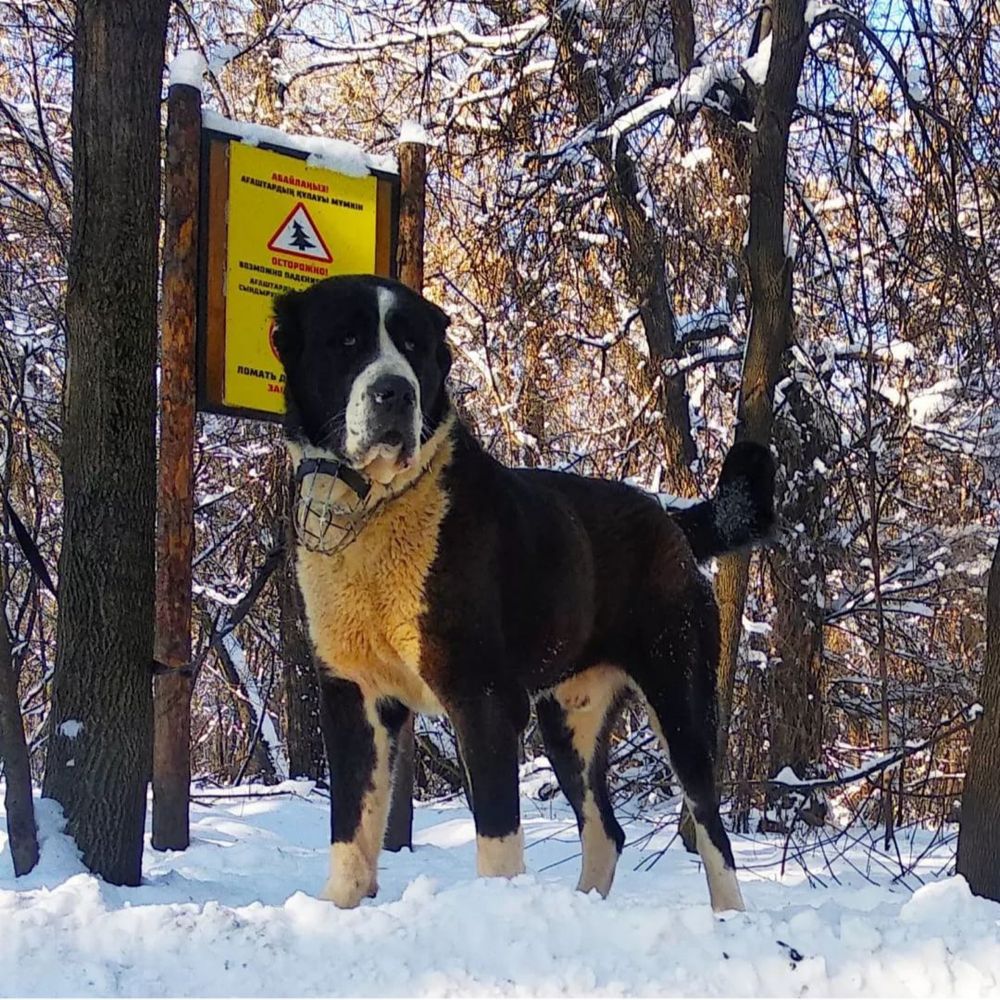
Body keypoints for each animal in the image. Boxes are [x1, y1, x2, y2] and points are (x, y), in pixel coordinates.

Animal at [274, 274, 772, 916]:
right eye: (347, 340)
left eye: (412, 345)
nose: (395, 392)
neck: (372, 510)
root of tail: (670, 516)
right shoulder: (353, 695)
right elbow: (351, 828)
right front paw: (337, 906)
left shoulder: (482, 697)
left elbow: (496, 836)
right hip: (567, 717)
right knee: (606, 831)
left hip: (679, 700)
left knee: (710, 827)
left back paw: (728, 915)